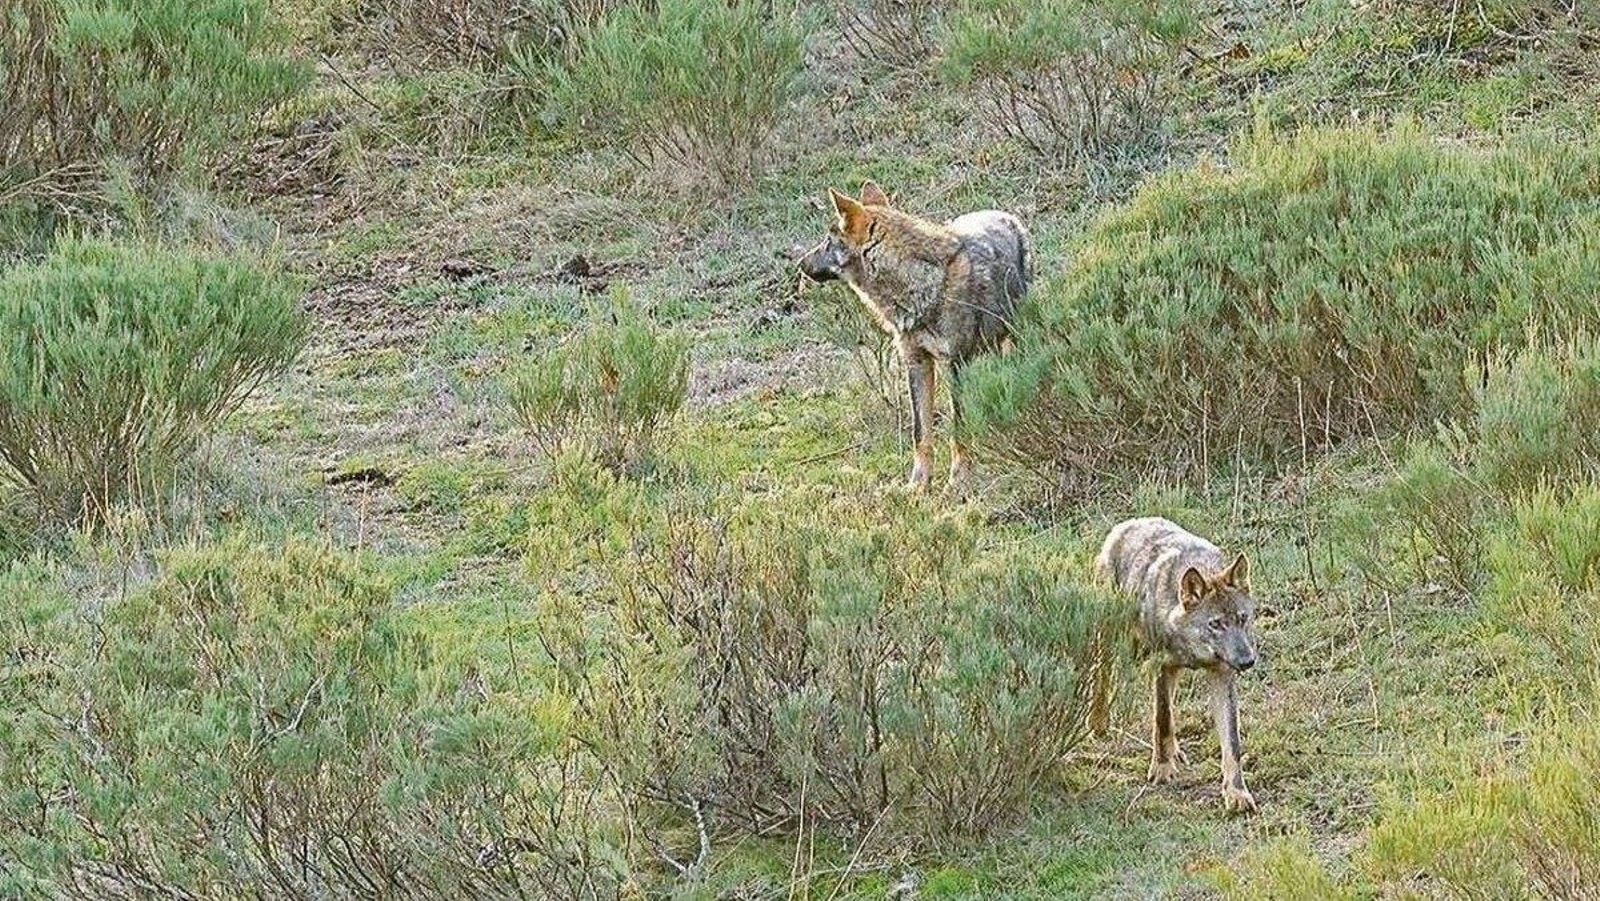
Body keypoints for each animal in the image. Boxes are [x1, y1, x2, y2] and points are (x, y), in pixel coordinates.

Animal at [797, 182, 1030, 489]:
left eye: (827, 240)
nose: (801, 264)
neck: (918, 288)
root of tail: (1003, 214)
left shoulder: (955, 364)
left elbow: (958, 430)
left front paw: (957, 482)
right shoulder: (916, 362)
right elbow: (921, 434)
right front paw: (918, 485)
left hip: (1012, 337)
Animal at [1095, 517, 1259, 813]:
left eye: (1242, 618)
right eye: (1216, 624)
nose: (1247, 661)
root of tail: (1125, 525)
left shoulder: (1222, 676)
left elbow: (1232, 743)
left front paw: (1237, 793)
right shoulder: (1161, 666)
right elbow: (1162, 719)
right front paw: (1161, 770)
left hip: (1174, 671)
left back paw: (1177, 751)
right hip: (1111, 640)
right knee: (1102, 677)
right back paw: (1098, 723)